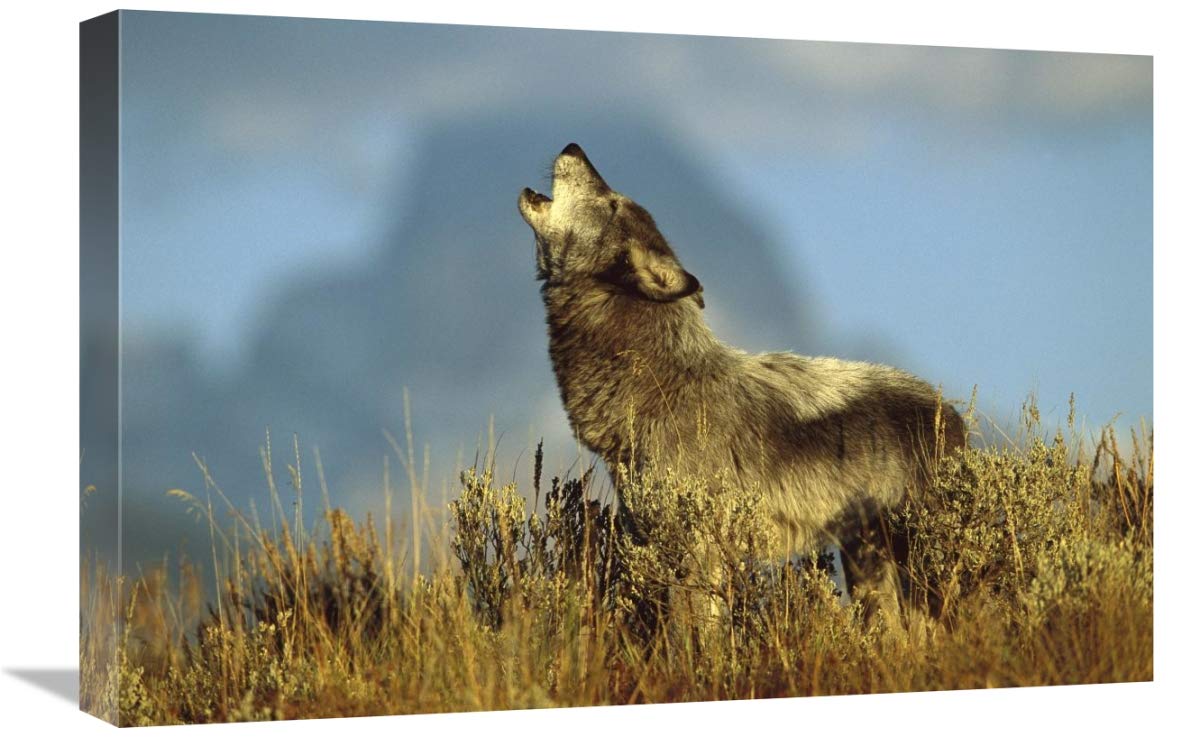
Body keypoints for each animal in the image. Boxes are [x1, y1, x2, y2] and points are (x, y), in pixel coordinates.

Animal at [518, 143, 966, 625]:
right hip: (868, 566)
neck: (660, 383)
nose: (573, 147)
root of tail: (952, 414)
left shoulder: (698, 550)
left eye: (613, 202)